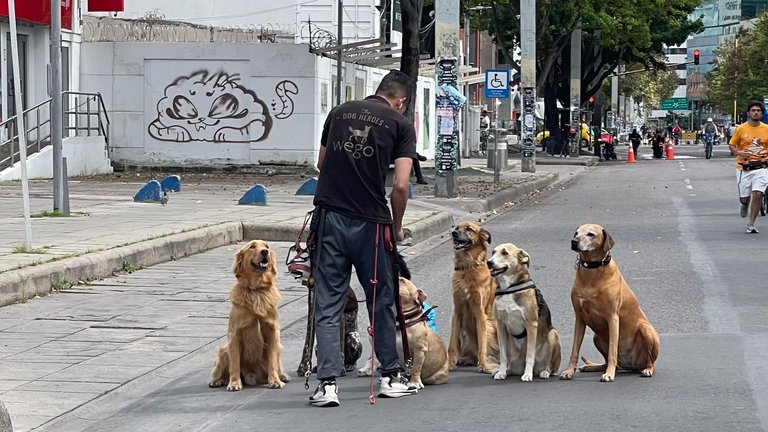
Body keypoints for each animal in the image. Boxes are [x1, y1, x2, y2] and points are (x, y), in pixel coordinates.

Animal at [208, 240, 290, 392]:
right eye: (252, 247)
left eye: (267, 246)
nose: (265, 252)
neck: (256, 290)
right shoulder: (235, 334)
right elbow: (234, 364)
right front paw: (234, 383)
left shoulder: (272, 331)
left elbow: (272, 362)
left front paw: (275, 380)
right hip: (224, 351)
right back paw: (217, 380)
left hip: (278, 346)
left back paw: (282, 376)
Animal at [448, 221, 500, 372]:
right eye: (456, 228)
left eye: (469, 229)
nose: (453, 233)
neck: (467, 267)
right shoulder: (457, 312)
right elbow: (451, 345)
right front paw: (448, 365)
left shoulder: (480, 313)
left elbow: (482, 344)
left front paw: (484, 366)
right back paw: (465, 360)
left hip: (492, 326)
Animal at [560, 224, 660, 384]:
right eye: (576, 233)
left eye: (590, 234)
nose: (573, 242)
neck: (592, 271)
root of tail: (632, 365)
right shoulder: (579, 319)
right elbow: (574, 350)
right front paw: (569, 371)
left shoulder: (612, 317)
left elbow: (613, 349)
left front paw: (609, 374)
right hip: (596, 337)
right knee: (607, 361)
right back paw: (592, 367)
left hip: (646, 330)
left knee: (649, 361)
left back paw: (647, 370)